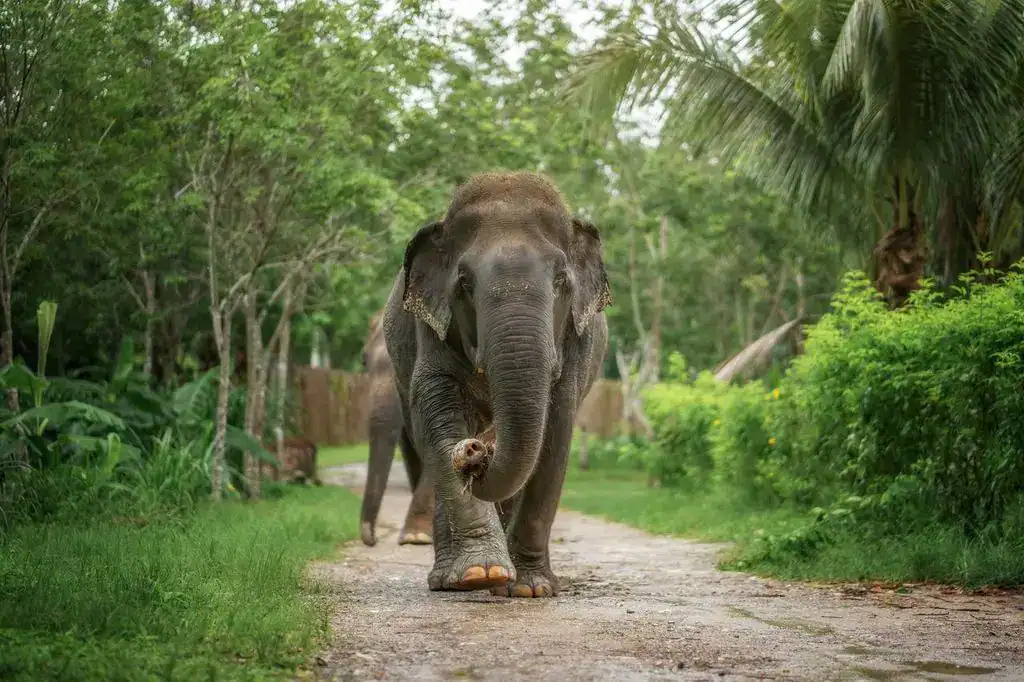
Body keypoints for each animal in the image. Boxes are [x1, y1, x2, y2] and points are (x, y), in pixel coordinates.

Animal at [380, 171, 611, 598]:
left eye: (561, 280)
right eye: (465, 283)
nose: (476, 449)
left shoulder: (577, 340)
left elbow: (555, 430)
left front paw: (529, 588)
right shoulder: (430, 326)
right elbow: (436, 408)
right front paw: (482, 573)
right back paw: (450, 581)